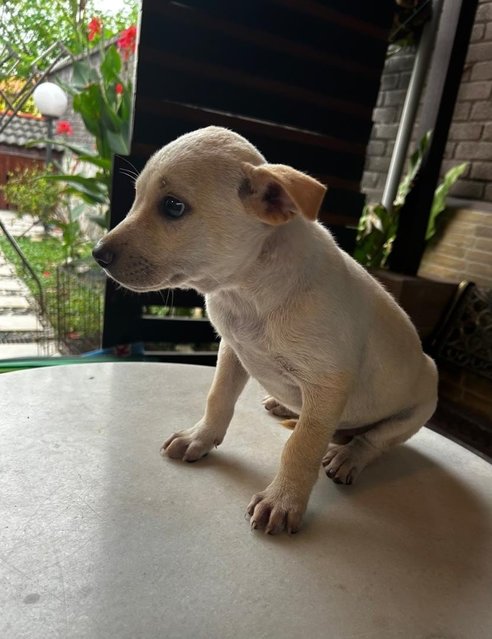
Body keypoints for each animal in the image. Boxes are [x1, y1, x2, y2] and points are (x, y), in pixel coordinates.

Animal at [93, 125, 438, 536]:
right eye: (137, 197)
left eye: (173, 206)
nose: (97, 254)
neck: (248, 290)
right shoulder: (232, 350)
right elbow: (218, 398)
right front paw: (200, 438)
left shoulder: (328, 383)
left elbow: (302, 446)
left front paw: (283, 500)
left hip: (417, 408)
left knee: (373, 441)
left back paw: (348, 456)